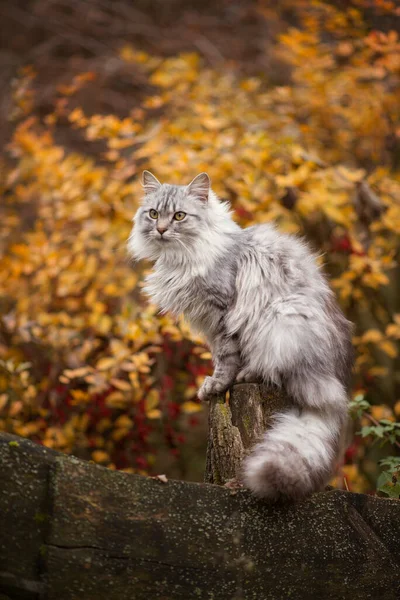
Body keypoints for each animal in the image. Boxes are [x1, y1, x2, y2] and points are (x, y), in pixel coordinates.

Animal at [128, 171, 354, 500]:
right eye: (154, 214)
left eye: (180, 216)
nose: (160, 230)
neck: (183, 256)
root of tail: (333, 379)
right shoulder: (208, 323)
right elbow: (218, 355)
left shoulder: (223, 313)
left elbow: (225, 358)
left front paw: (217, 385)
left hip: (282, 318)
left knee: (274, 372)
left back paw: (248, 375)